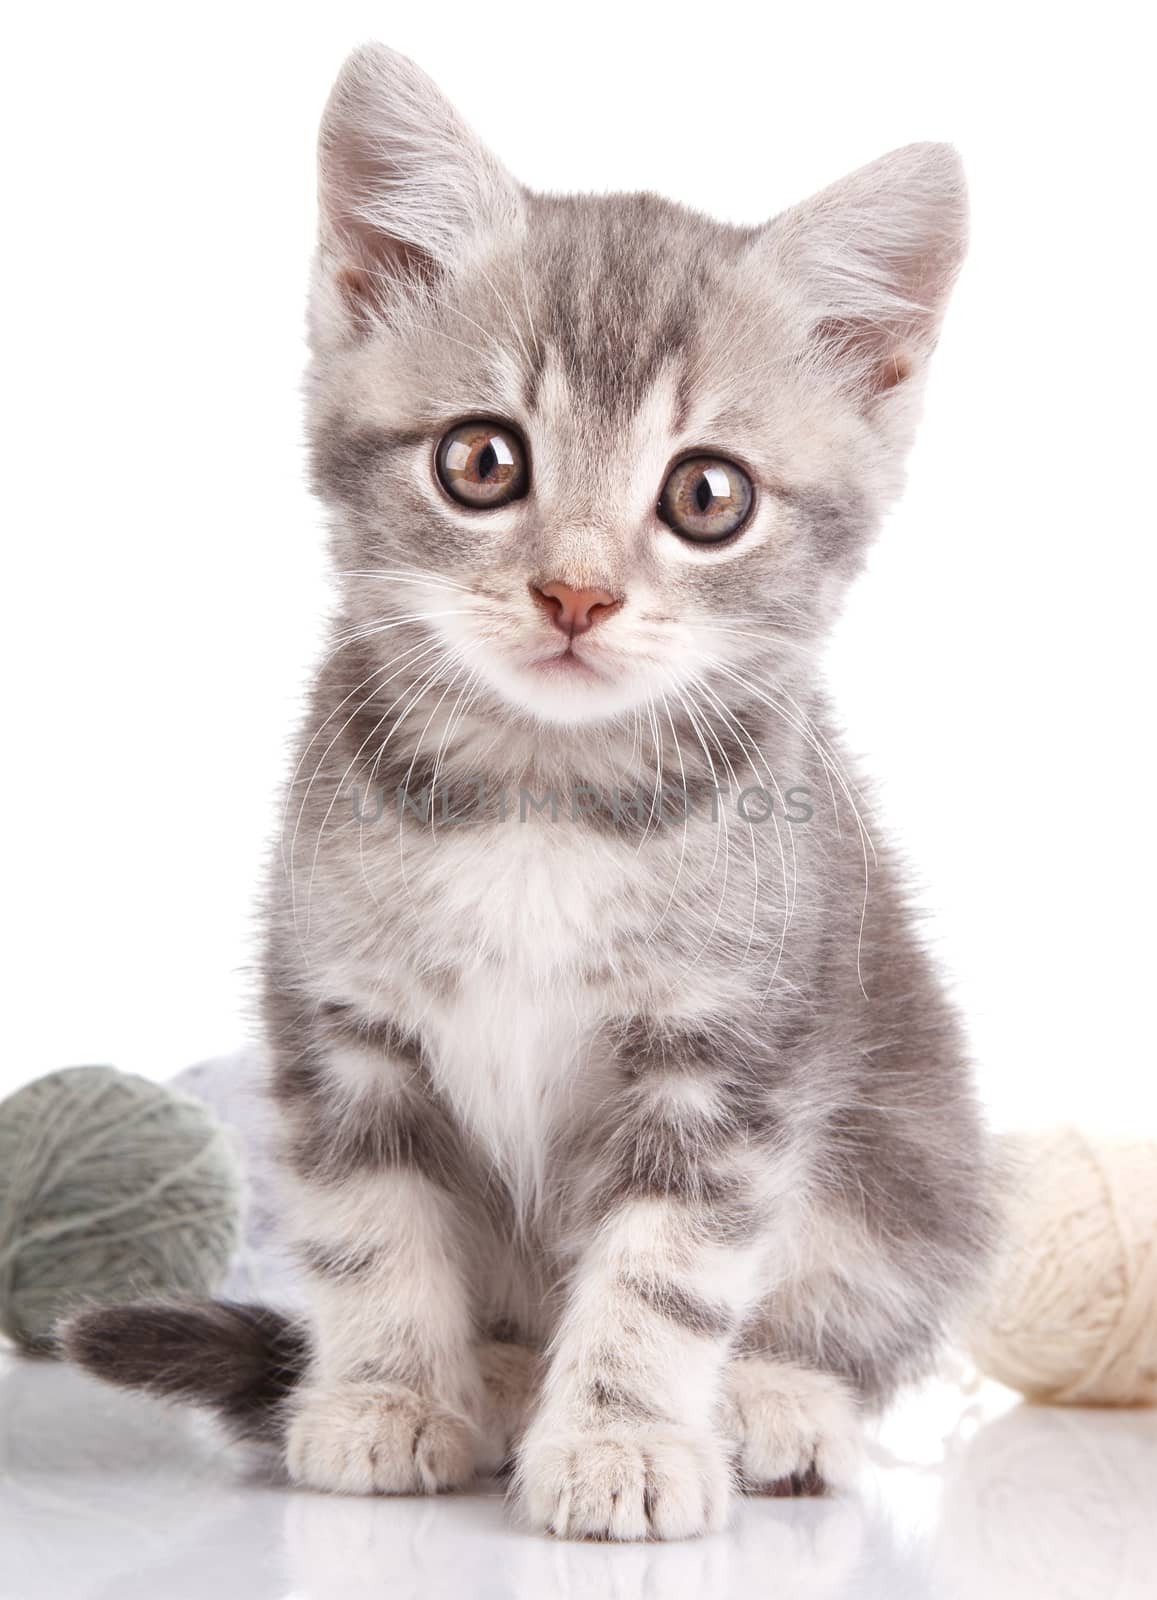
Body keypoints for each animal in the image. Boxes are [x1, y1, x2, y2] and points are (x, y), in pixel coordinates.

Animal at [68, 37, 998, 1536]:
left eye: (707, 496)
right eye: (482, 460)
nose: (574, 592)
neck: (541, 801)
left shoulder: (727, 1057)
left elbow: (668, 1266)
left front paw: (623, 1435)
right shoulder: (344, 1022)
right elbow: (368, 1227)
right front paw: (390, 1394)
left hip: (920, 1149)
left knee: (854, 1311)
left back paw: (771, 1399)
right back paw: (499, 1379)